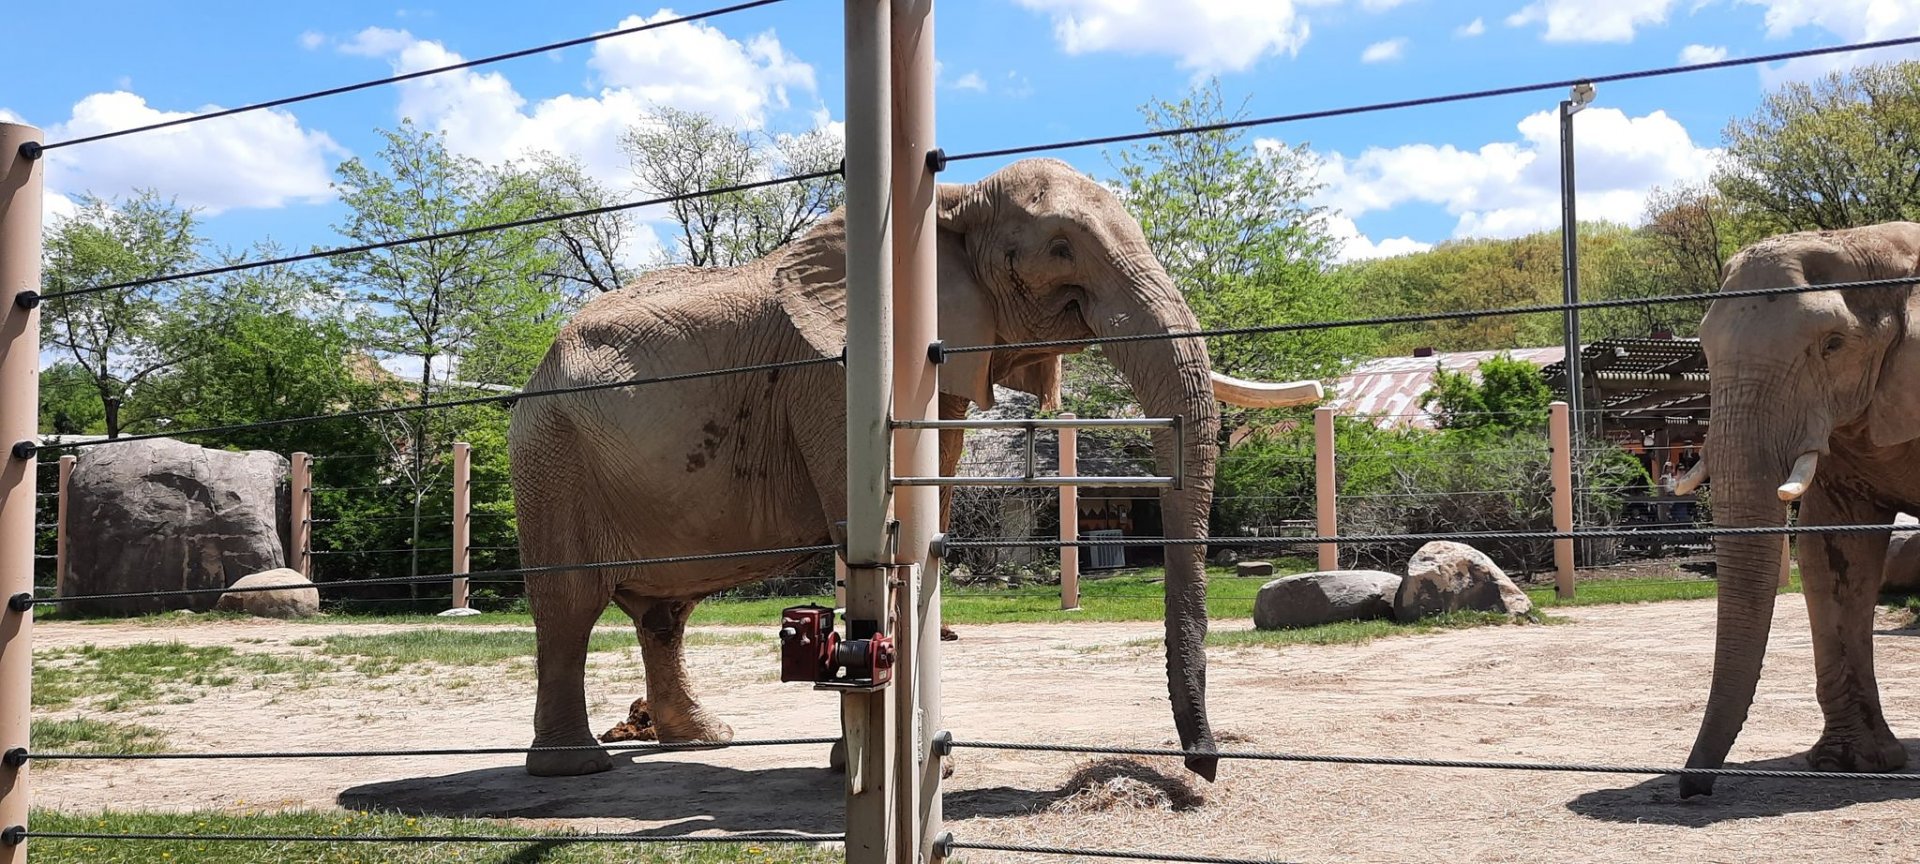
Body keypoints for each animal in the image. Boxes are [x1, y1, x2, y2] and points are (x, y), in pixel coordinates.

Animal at [506, 157, 1321, 779]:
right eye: (1059, 248)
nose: (1202, 768)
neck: (947, 203)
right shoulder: (833, 380)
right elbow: (871, 533)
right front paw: (860, 769)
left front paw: (932, 768)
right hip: (548, 453)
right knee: (570, 603)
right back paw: (575, 768)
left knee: (664, 613)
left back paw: (706, 739)